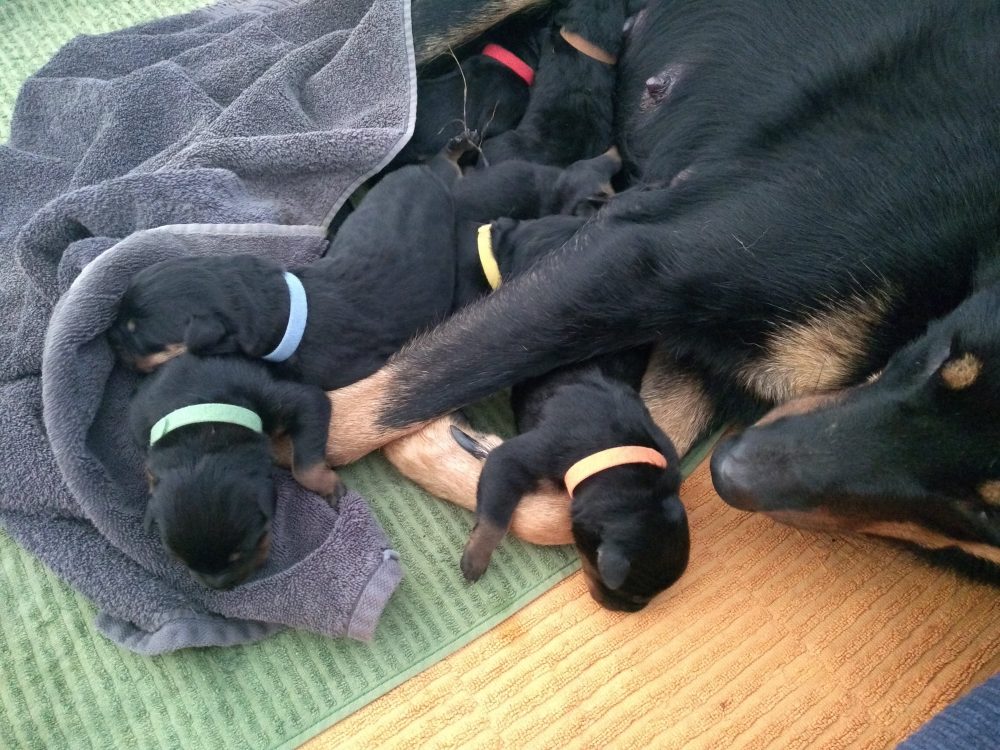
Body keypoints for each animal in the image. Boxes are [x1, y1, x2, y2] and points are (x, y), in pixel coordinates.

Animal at [130, 356, 340, 592]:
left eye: (240, 554)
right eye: (182, 562)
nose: (219, 586)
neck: (206, 424)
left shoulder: (289, 400)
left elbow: (304, 464)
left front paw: (326, 484)